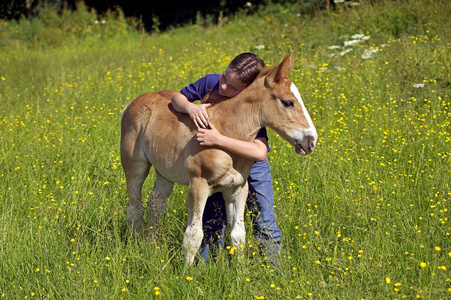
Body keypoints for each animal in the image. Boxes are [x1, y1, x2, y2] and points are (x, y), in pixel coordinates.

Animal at [121, 54, 318, 264]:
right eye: (288, 102)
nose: (311, 141)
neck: (227, 131)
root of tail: (132, 103)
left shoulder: (237, 188)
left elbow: (238, 235)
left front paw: (240, 271)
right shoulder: (197, 184)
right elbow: (194, 235)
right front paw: (185, 272)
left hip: (165, 172)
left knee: (155, 206)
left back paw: (152, 248)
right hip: (135, 166)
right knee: (134, 207)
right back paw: (134, 248)